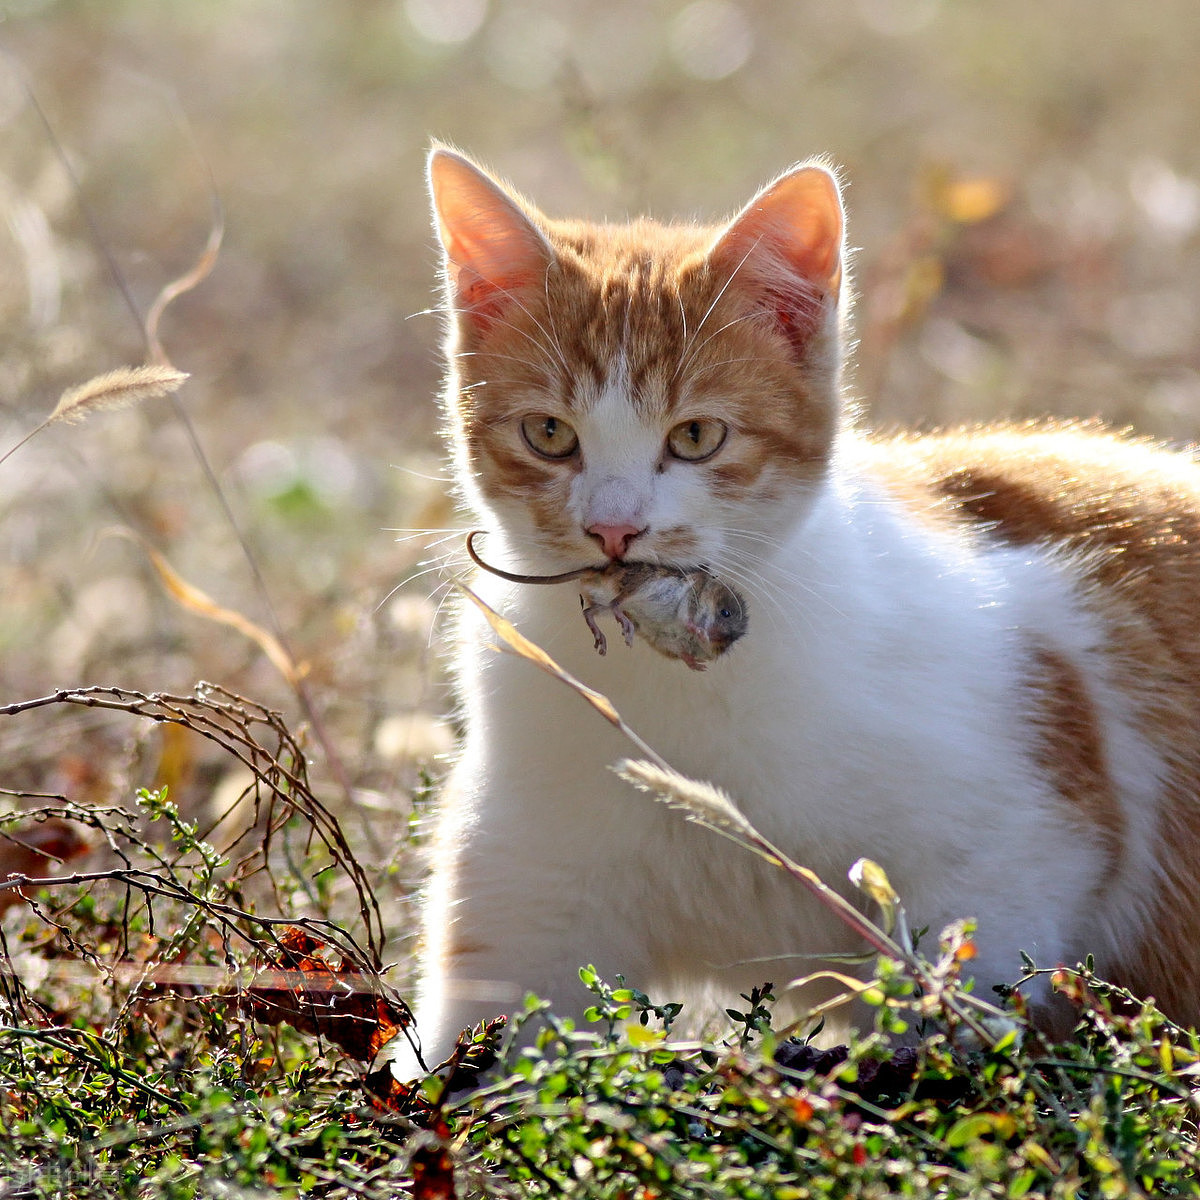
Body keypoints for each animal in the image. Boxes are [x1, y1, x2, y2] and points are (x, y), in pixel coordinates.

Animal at [398, 145, 1200, 1075]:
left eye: (697, 436)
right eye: (550, 434)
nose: (613, 528)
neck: (678, 690)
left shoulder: (1021, 843)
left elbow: (959, 1009)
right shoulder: (528, 891)